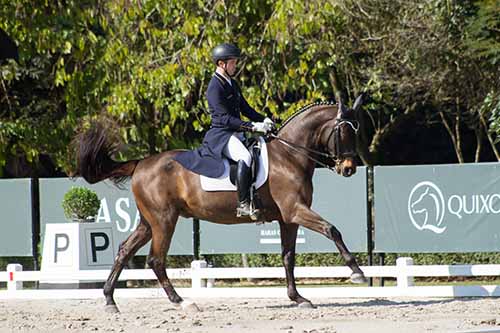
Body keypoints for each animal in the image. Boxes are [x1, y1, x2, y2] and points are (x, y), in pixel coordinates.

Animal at [76, 95, 370, 312]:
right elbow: (332, 230)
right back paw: (182, 302)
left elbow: (288, 257)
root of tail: (141, 163)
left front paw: (297, 298)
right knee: (156, 260)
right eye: (344, 131)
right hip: (164, 221)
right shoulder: (296, 211)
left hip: (149, 222)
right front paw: (358, 273)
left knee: (125, 250)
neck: (289, 155)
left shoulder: (288, 219)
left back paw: (110, 300)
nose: (348, 169)